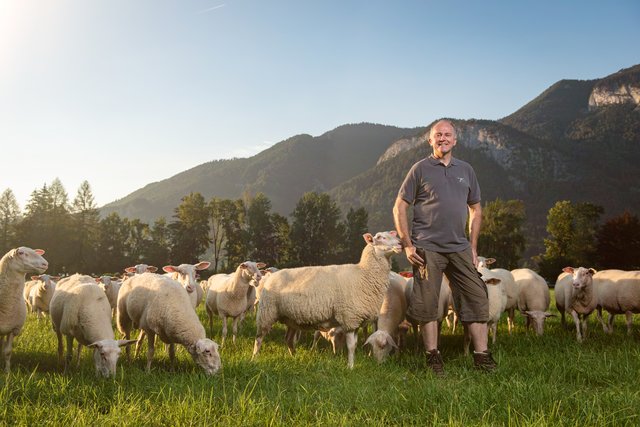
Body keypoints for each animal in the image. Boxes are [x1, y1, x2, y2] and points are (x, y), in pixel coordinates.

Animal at [251, 232, 398, 370]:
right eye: (380, 237)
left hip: (290, 318)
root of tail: (270, 276)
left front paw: (352, 365)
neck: (364, 274)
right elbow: (351, 346)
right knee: (259, 338)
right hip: (267, 312)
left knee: (288, 339)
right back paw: (255, 359)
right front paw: (350, 367)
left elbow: (355, 344)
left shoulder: (355, 321)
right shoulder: (349, 318)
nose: (400, 244)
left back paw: (294, 357)